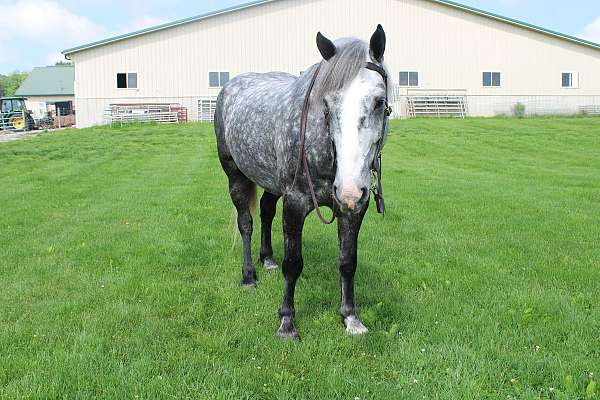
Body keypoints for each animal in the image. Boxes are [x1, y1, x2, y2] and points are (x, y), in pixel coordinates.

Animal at [216, 24, 394, 338]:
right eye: (327, 104)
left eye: (379, 101)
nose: (349, 190)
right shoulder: (296, 202)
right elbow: (293, 264)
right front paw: (287, 322)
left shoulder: (354, 208)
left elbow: (347, 262)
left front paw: (350, 318)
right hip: (235, 175)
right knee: (246, 223)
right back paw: (249, 276)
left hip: (273, 183)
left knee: (265, 210)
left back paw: (267, 259)